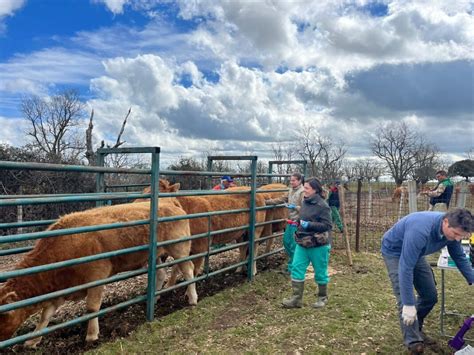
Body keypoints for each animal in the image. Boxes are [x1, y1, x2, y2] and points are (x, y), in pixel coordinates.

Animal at [0, 202, 196, 350]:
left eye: (3, 315)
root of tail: (172, 205)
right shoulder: (62, 288)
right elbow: (45, 315)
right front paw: (33, 340)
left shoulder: (96, 276)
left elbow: (92, 308)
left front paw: (92, 335)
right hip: (155, 256)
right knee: (160, 274)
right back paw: (153, 298)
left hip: (179, 248)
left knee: (188, 269)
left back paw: (192, 298)